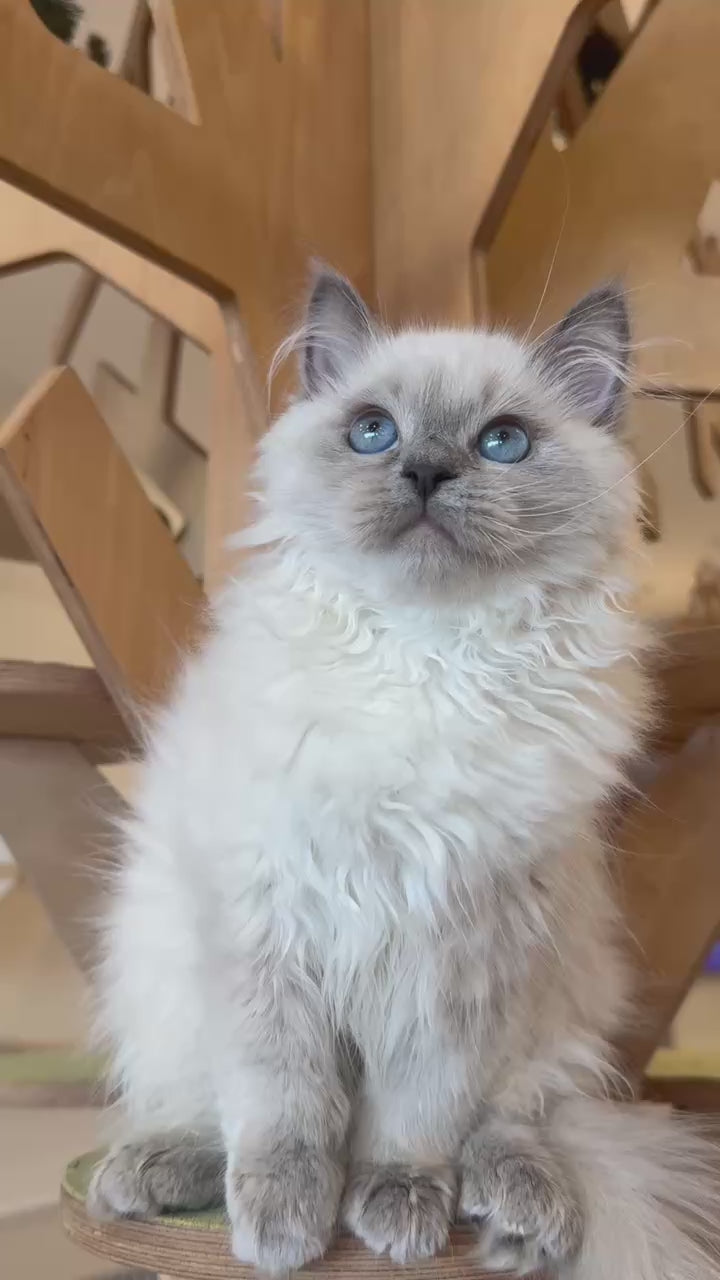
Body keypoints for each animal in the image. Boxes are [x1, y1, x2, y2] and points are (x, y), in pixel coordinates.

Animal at [88, 268, 719, 1279]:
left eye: (503, 443)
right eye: (373, 431)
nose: (424, 472)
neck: (429, 664)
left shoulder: (458, 952)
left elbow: (413, 1118)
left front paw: (395, 1209)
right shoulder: (271, 930)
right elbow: (285, 1109)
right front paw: (285, 1230)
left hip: (553, 994)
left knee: (519, 1119)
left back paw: (521, 1214)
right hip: (160, 972)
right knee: (203, 1111)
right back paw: (151, 1174)